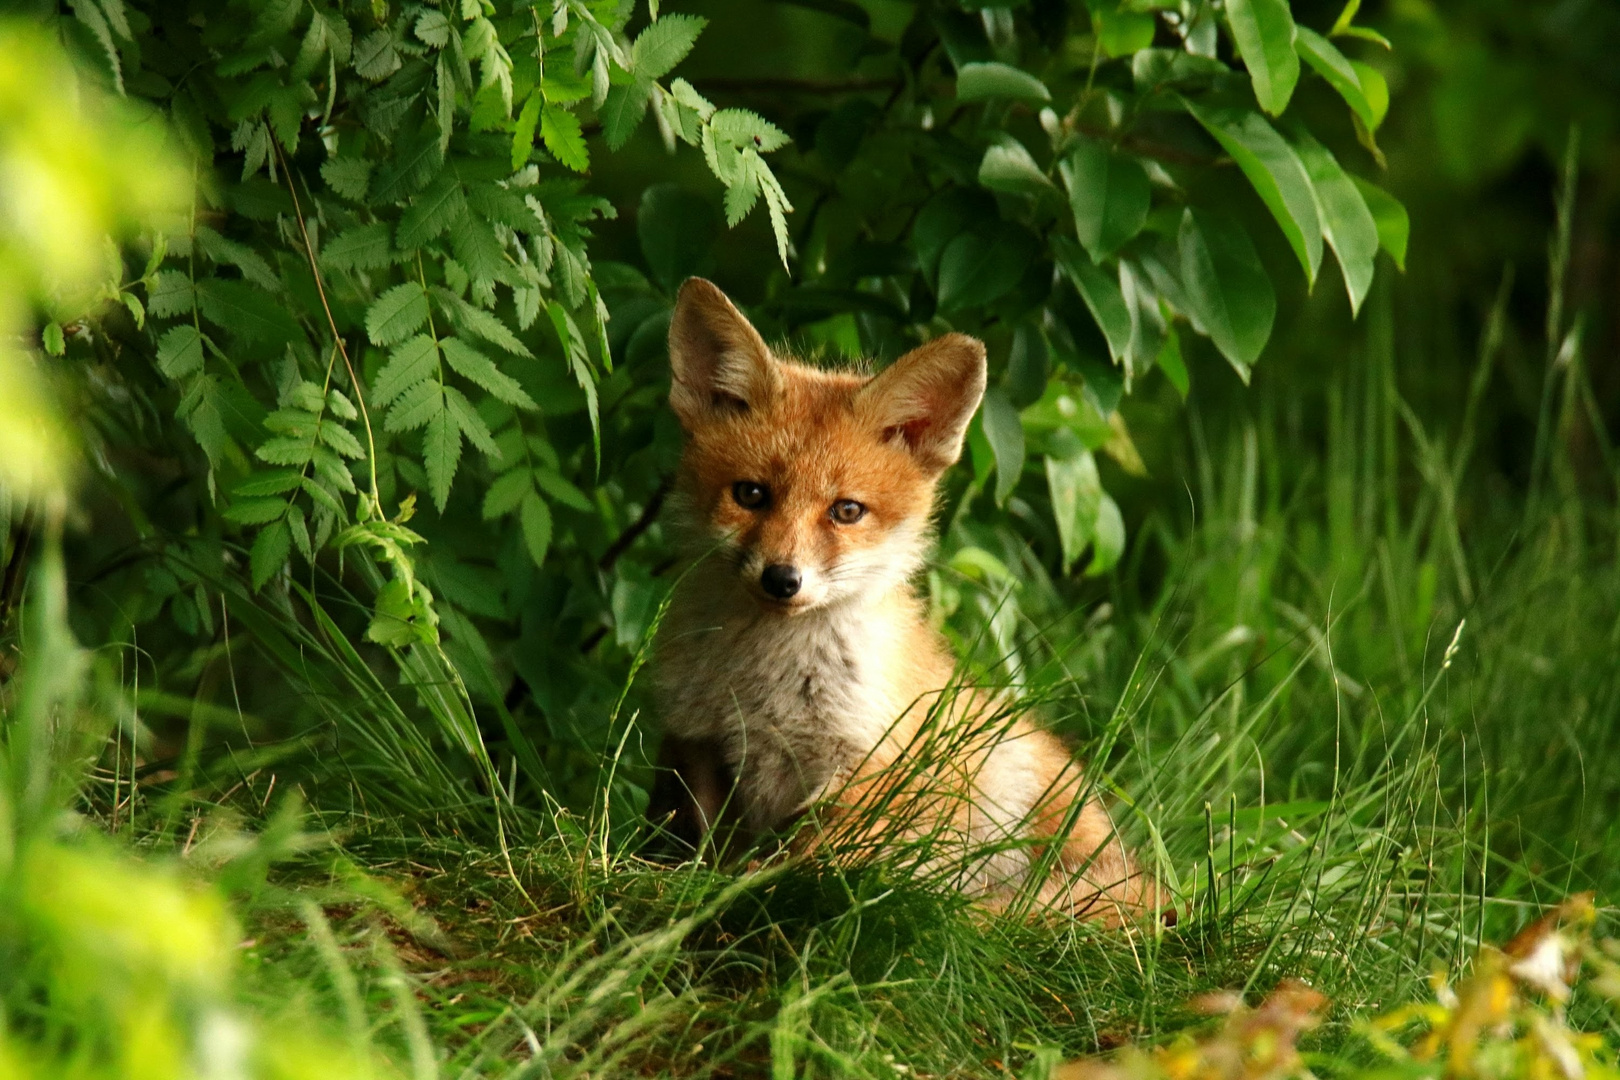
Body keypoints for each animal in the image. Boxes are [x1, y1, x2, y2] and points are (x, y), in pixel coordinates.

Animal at [644, 276, 1140, 919]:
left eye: (847, 511)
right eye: (750, 495)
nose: (782, 579)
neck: (765, 685)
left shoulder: (867, 765)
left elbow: (807, 863)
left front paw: (758, 890)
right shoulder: (697, 738)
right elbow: (701, 845)